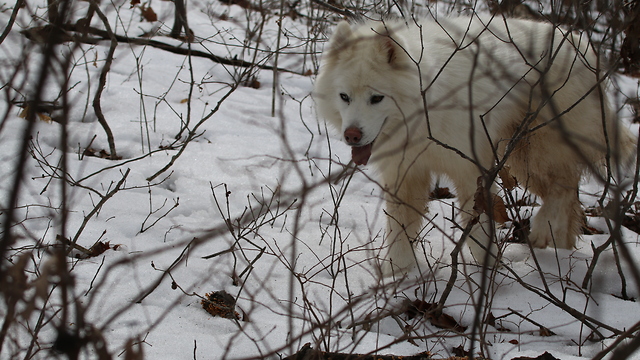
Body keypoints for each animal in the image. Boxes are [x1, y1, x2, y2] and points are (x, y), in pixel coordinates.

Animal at [314, 14, 636, 276]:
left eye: (376, 98)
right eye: (344, 97)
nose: (352, 135)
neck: (427, 107)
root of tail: (582, 43)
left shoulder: (471, 173)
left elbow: (478, 227)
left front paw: (487, 271)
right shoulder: (406, 176)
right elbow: (400, 228)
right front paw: (396, 273)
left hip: (538, 148)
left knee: (564, 187)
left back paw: (543, 230)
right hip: (521, 157)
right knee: (568, 197)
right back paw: (559, 244)